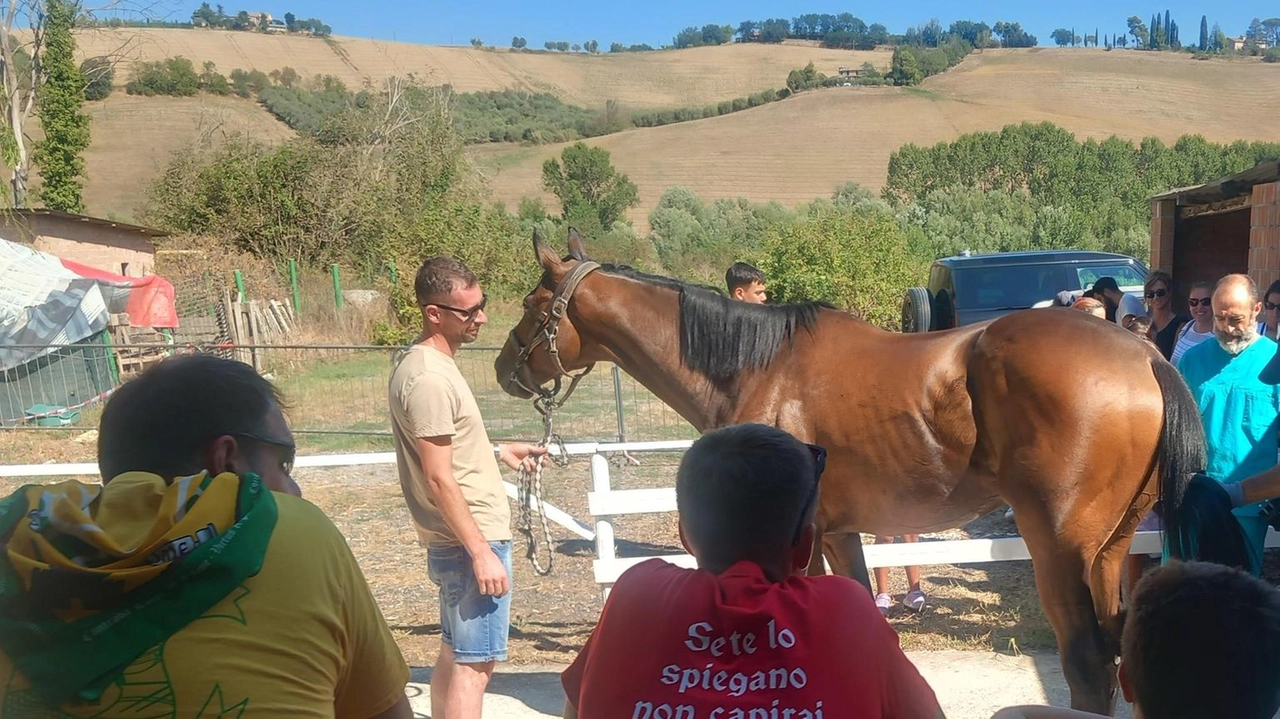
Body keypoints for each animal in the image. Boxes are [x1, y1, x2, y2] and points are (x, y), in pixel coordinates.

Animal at [496, 227, 1208, 711]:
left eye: (532, 304)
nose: (505, 369)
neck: (758, 367)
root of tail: (1144, 356)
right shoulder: (839, 533)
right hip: (1112, 549)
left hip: (1058, 548)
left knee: (1088, 663)